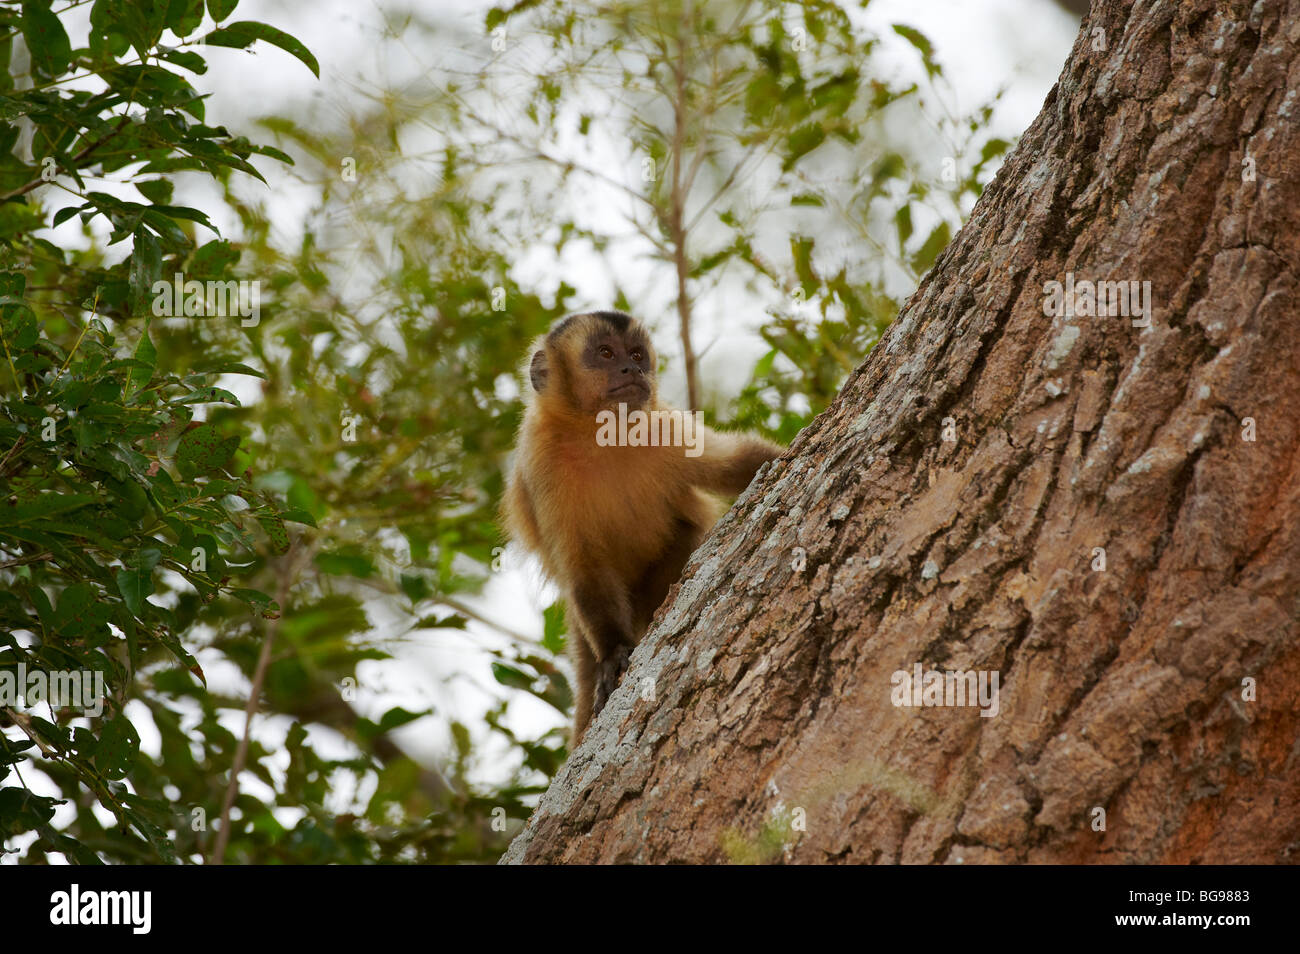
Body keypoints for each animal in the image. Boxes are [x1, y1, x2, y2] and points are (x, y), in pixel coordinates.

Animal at [499, 310, 780, 743]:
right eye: (605, 353)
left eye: (635, 354)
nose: (632, 369)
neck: (598, 436)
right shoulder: (539, 462)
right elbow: (584, 566)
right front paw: (613, 653)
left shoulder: (664, 426)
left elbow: (739, 462)